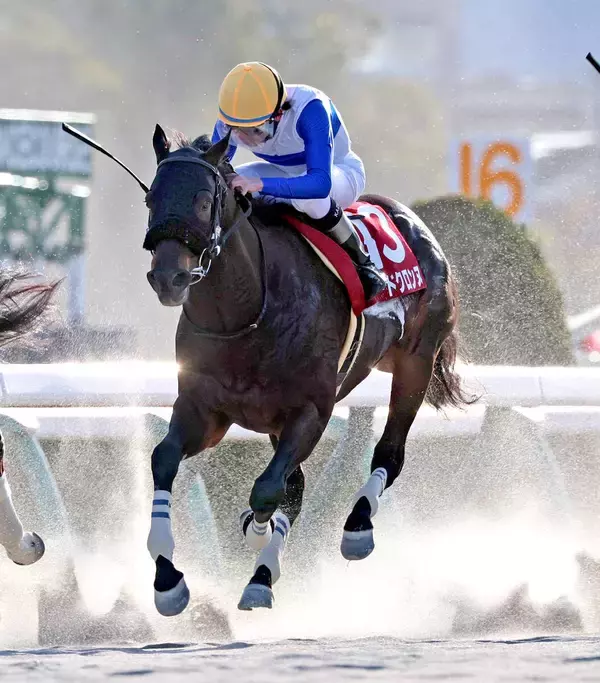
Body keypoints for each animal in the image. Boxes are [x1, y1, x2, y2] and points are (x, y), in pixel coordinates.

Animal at [143, 125, 471, 615]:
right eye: (151, 198)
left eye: (203, 201)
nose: (168, 278)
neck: (248, 313)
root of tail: (412, 221)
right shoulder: (206, 411)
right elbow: (165, 459)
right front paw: (168, 581)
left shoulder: (310, 412)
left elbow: (267, 491)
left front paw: (257, 533)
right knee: (295, 484)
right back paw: (261, 575)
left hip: (416, 361)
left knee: (389, 454)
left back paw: (356, 528)